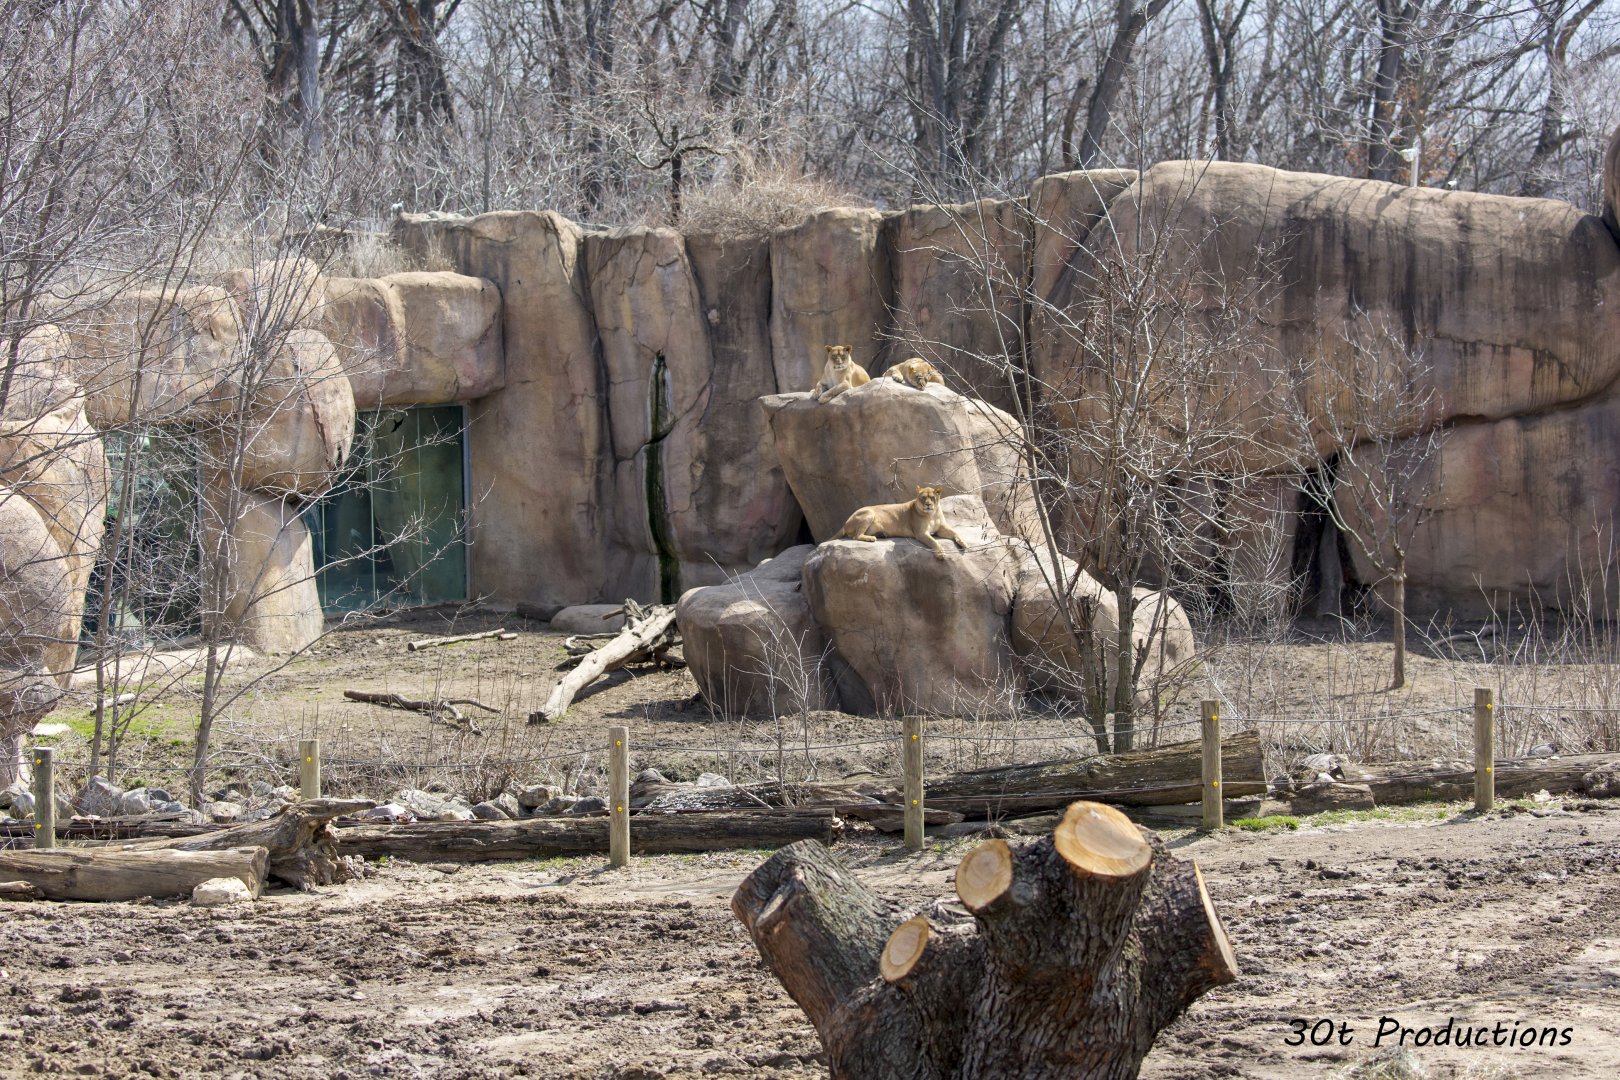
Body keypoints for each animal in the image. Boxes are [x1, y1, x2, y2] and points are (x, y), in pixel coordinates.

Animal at [833, 486, 965, 559]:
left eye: (932, 497)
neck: (932, 514)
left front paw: (963, 543)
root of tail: (845, 523)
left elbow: (955, 533)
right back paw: (871, 538)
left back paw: (881, 534)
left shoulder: (941, 528)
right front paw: (941, 554)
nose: (928, 504)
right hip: (868, 513)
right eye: (923, 498)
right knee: (856, 536)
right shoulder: (921, 533)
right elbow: (934, 542)